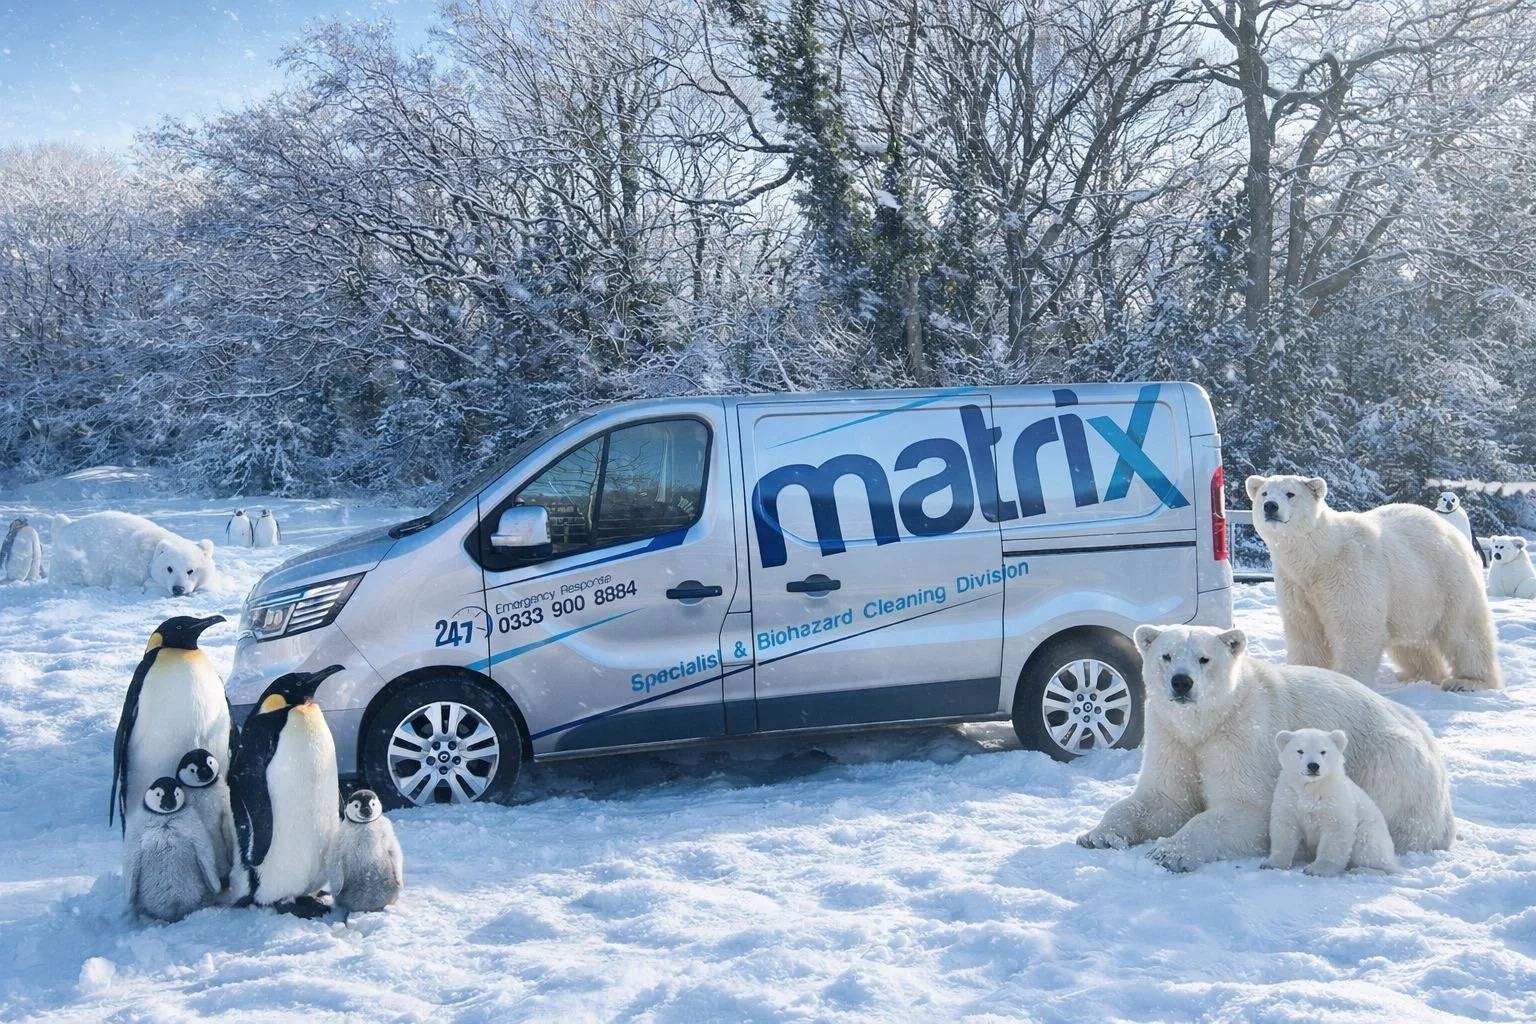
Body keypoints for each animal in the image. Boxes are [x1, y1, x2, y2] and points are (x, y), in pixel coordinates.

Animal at [50, 512, 218, 596]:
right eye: (169, 568)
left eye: (191, 570)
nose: (178, 589)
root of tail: (65, 526)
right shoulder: (131, 566)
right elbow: (125, 585)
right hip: (71, 557)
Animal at [1246, 474, 1500, 692]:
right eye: (1264, 492)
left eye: (1290, 493)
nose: (1270, 506)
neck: (1319, 558)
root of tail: (1450, 530)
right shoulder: (1296, 585)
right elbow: (1306, 632)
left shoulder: (1349, 573)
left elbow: (1354, 627)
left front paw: (1350, 683)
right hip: (1410, 596)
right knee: (1412, 642)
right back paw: (1417, 674)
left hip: (1447, 580)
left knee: (1465, 630)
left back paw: (1467, 681)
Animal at [1264, 728, 1397, 876]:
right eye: (1300, 750)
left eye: (1323, 751)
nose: (1313, 766)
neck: (1312, 788)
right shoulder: (1289, 796)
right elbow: (1284, 828)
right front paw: (1271, 864)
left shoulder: (1335, 799)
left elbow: (1335, 831)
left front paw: (1317, 869)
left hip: (1370, 830)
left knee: (1370, 850)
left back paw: (1361, 869)